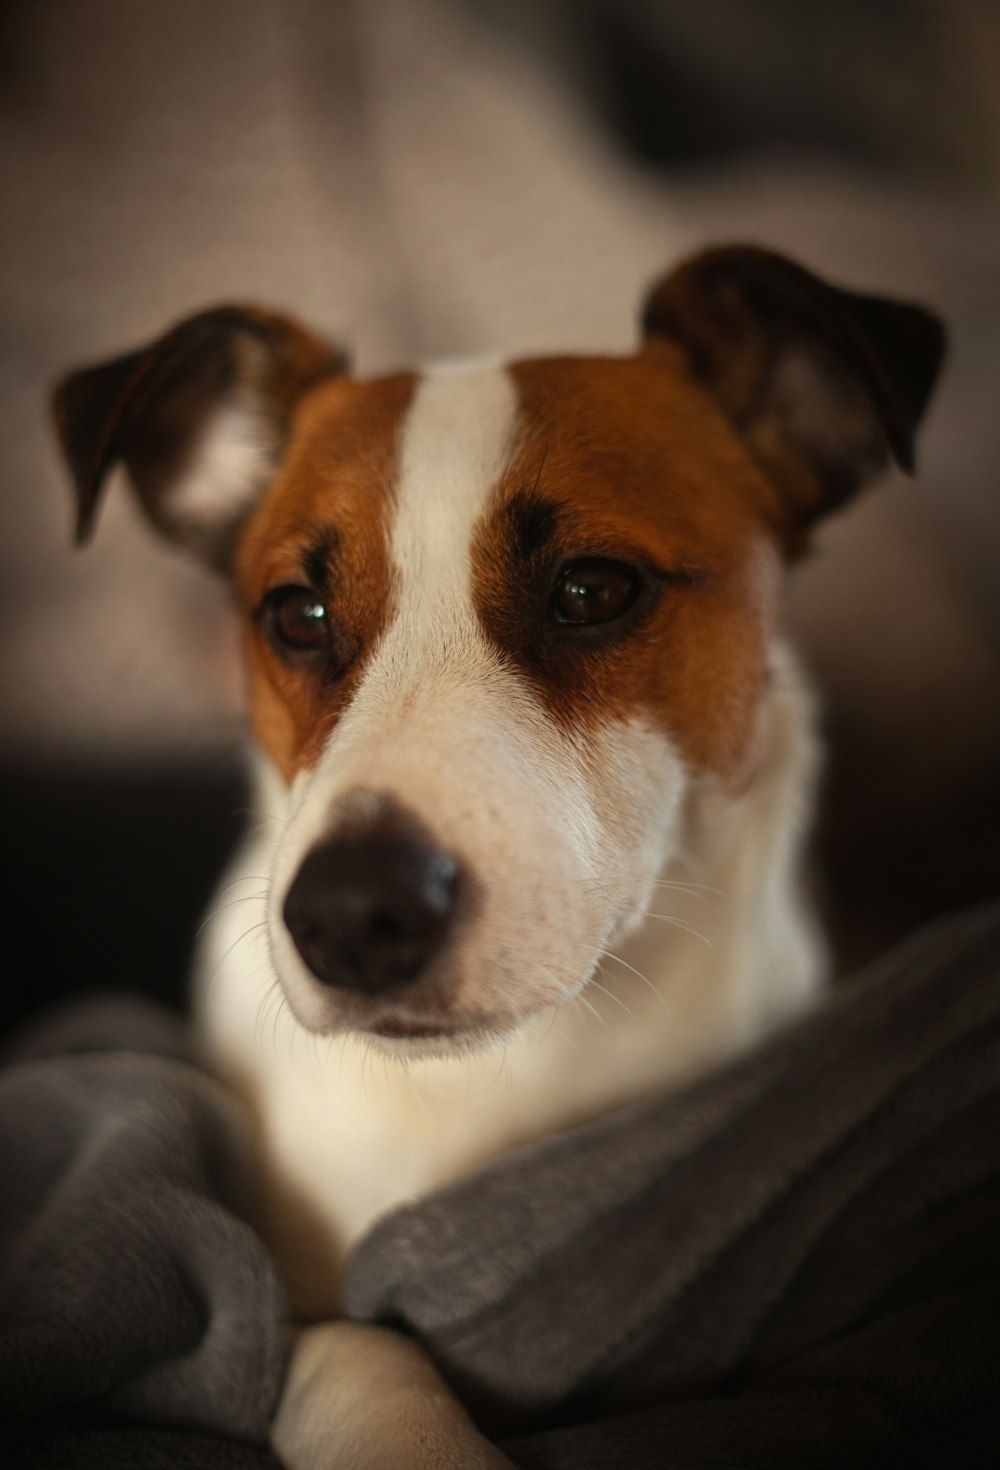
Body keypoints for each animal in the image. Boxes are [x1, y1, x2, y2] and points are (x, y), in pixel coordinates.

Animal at [54, 246, 947, 1464]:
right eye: (295, 613)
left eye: (591, 588)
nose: (350, 916)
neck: (495, 1084)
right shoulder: (286, 1292)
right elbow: (356, 1351)